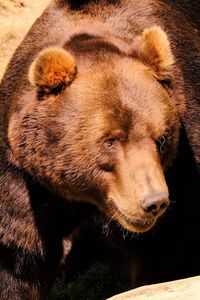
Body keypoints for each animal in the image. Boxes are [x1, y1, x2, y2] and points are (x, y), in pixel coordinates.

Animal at [0, 0, 199, 300]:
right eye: (110, 141)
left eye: (162, 138)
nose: (154, 201)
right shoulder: (27, 180)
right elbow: (18, 259)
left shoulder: (182, 166)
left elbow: (170, 249)